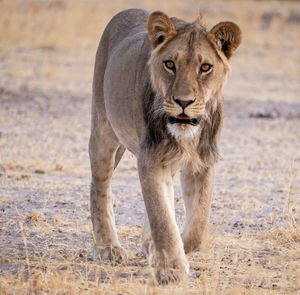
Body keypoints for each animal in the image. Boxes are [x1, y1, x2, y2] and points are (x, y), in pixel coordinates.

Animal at [89, 8, 241, 284]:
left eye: (205, 67)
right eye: (170, 64)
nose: (184, 102)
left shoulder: (202, 162)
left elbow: (197, 225)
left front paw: (161, 249)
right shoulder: (150, 157)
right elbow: (161, 214)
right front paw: (170, 268)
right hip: (103, 130)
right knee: (99, 186)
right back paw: (107, 247)